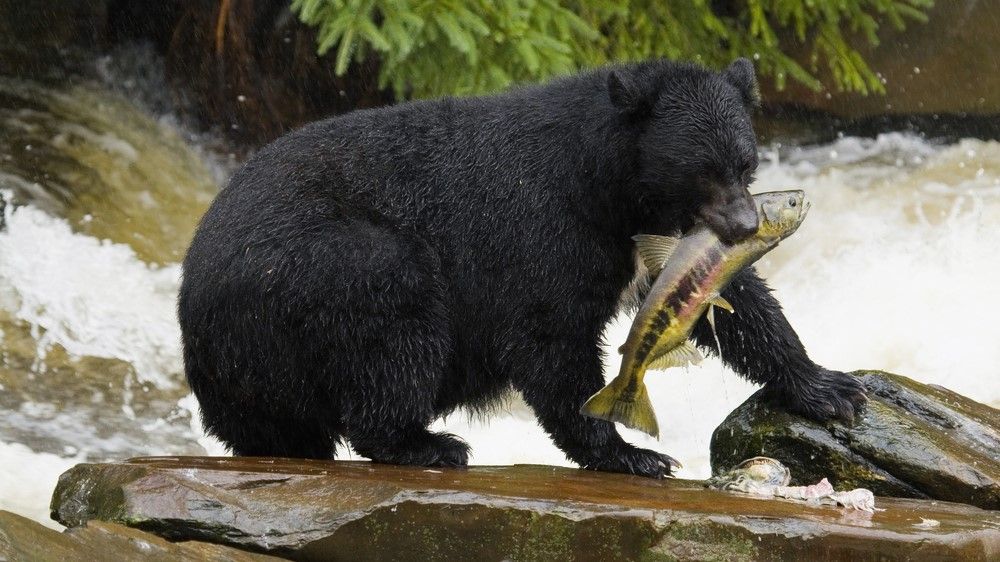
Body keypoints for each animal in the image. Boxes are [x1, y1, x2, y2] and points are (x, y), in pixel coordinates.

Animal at [178, 58, 866, 478]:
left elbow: (735, 298)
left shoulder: (668, 238)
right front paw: (628, 451)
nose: (747, 226)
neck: (611, 185)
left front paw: (830, 388)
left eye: (746, 164)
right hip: (318, 269)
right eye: (703, 170)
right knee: (392, 315)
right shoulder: (542, 226)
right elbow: (549, 337)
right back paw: (426, 442)